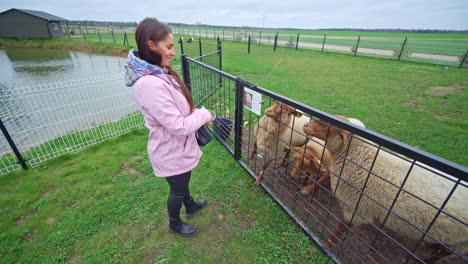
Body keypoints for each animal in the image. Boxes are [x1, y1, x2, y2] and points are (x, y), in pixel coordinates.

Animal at [304, 116, 468, 264]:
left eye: (329, 124)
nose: (305, 126)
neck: (363, 159)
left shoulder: (357, 208)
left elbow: (341, 229)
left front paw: (328, 243)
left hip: (462, 242)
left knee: (447, 253)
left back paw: (428, 259)